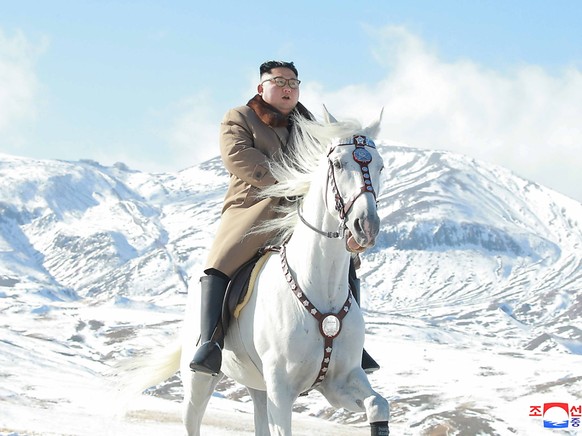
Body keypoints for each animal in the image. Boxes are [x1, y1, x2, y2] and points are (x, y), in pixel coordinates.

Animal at [121, 107, 390, 434]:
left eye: (380, 166)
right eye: (338, 164)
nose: (367, 226)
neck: (319, 286)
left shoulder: (338, 382)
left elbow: (378, 404)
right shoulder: (281, 391)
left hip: (258, 388)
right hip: (200, 380)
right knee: (192, 418)